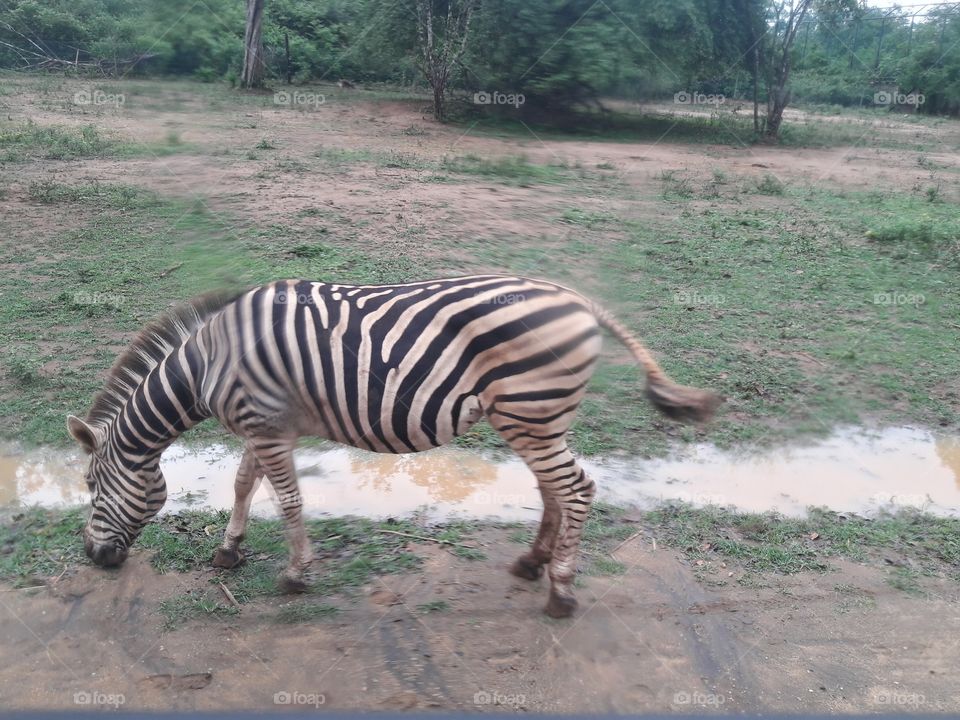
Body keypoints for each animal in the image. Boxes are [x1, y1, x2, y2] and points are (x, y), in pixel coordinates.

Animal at [68, 275, 719, 618]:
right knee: (554, 488)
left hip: (531, 411)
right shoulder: (263, 424)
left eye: (91, 486)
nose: (93, 559)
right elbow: (244, 483)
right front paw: (229, 550)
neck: (210, 361)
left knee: (576, 487)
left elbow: (288, 500)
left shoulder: (266, 425)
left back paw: (560, 589)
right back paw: (532, 563)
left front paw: (296, 574)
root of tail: (576, 298)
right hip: (533, 416)